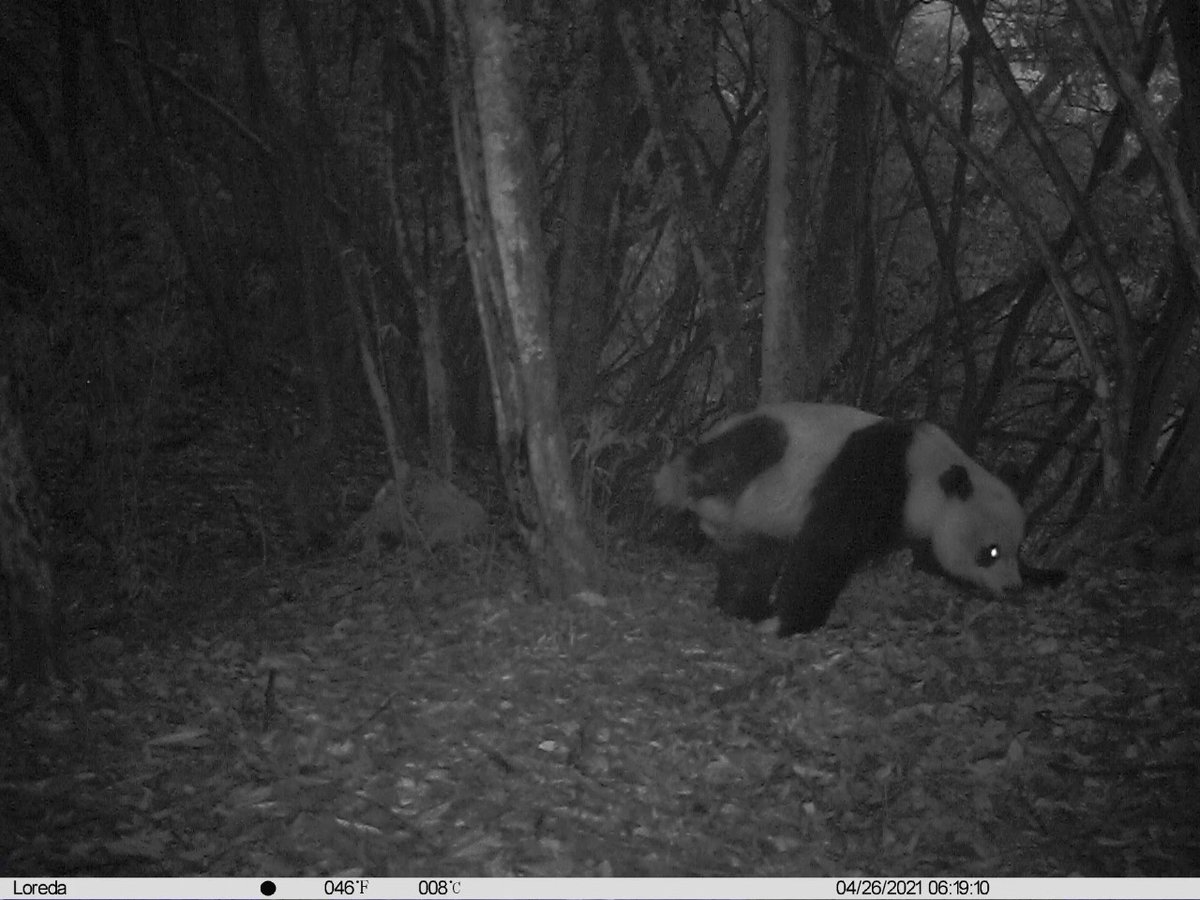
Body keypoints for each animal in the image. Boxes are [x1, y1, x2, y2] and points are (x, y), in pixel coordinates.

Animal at [654, 402, 1064, 637]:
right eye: (990, 552)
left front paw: (1046, 575)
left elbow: (931, 559)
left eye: (1016, 548)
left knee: (749, 559)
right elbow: (825, 549)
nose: (1011, 587)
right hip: (758, 469)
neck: (927, 473)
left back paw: (742, 604)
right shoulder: (868, 481)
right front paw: (790, 621)